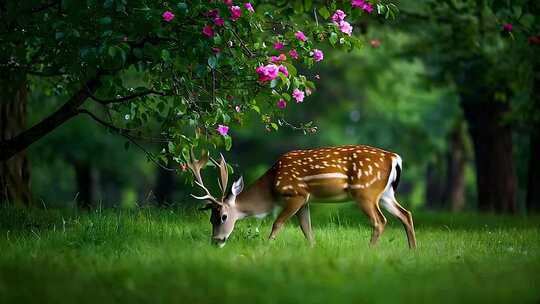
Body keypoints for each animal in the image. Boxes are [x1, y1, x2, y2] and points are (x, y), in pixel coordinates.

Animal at [189, 145, 418, 249]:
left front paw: (267, 247)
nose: (217, 241)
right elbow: (307, 229)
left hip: (365, 192)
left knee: (380, 221)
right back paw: (413, 251)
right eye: (210, 218)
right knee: (405, 214)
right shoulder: (306, 201)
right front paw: (313, 249)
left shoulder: (297, 194)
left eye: (223, 216)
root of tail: (395, 158)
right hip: (386, 194)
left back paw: (370, 250)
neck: (271, 187)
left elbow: (278, 223)